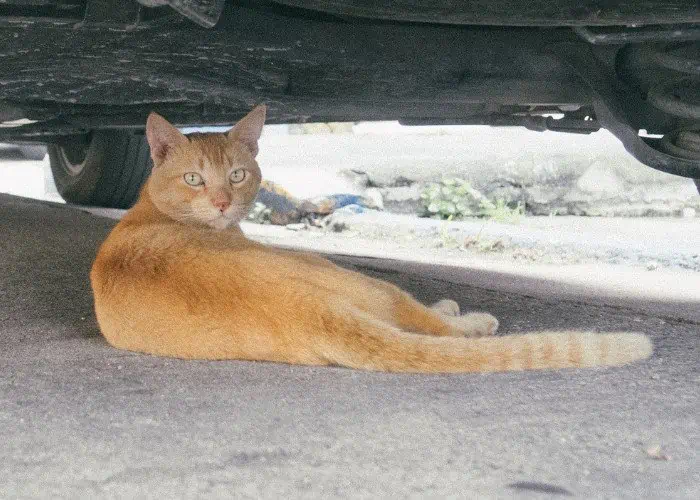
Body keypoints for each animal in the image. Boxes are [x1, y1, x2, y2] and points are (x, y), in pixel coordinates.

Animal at [90, 104, 652, 372]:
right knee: (432, 325)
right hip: (364, 280)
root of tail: (311, 311)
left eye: (237, 175)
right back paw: (463, 316)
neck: (151, 209)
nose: (224, 204)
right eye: (193, 179)